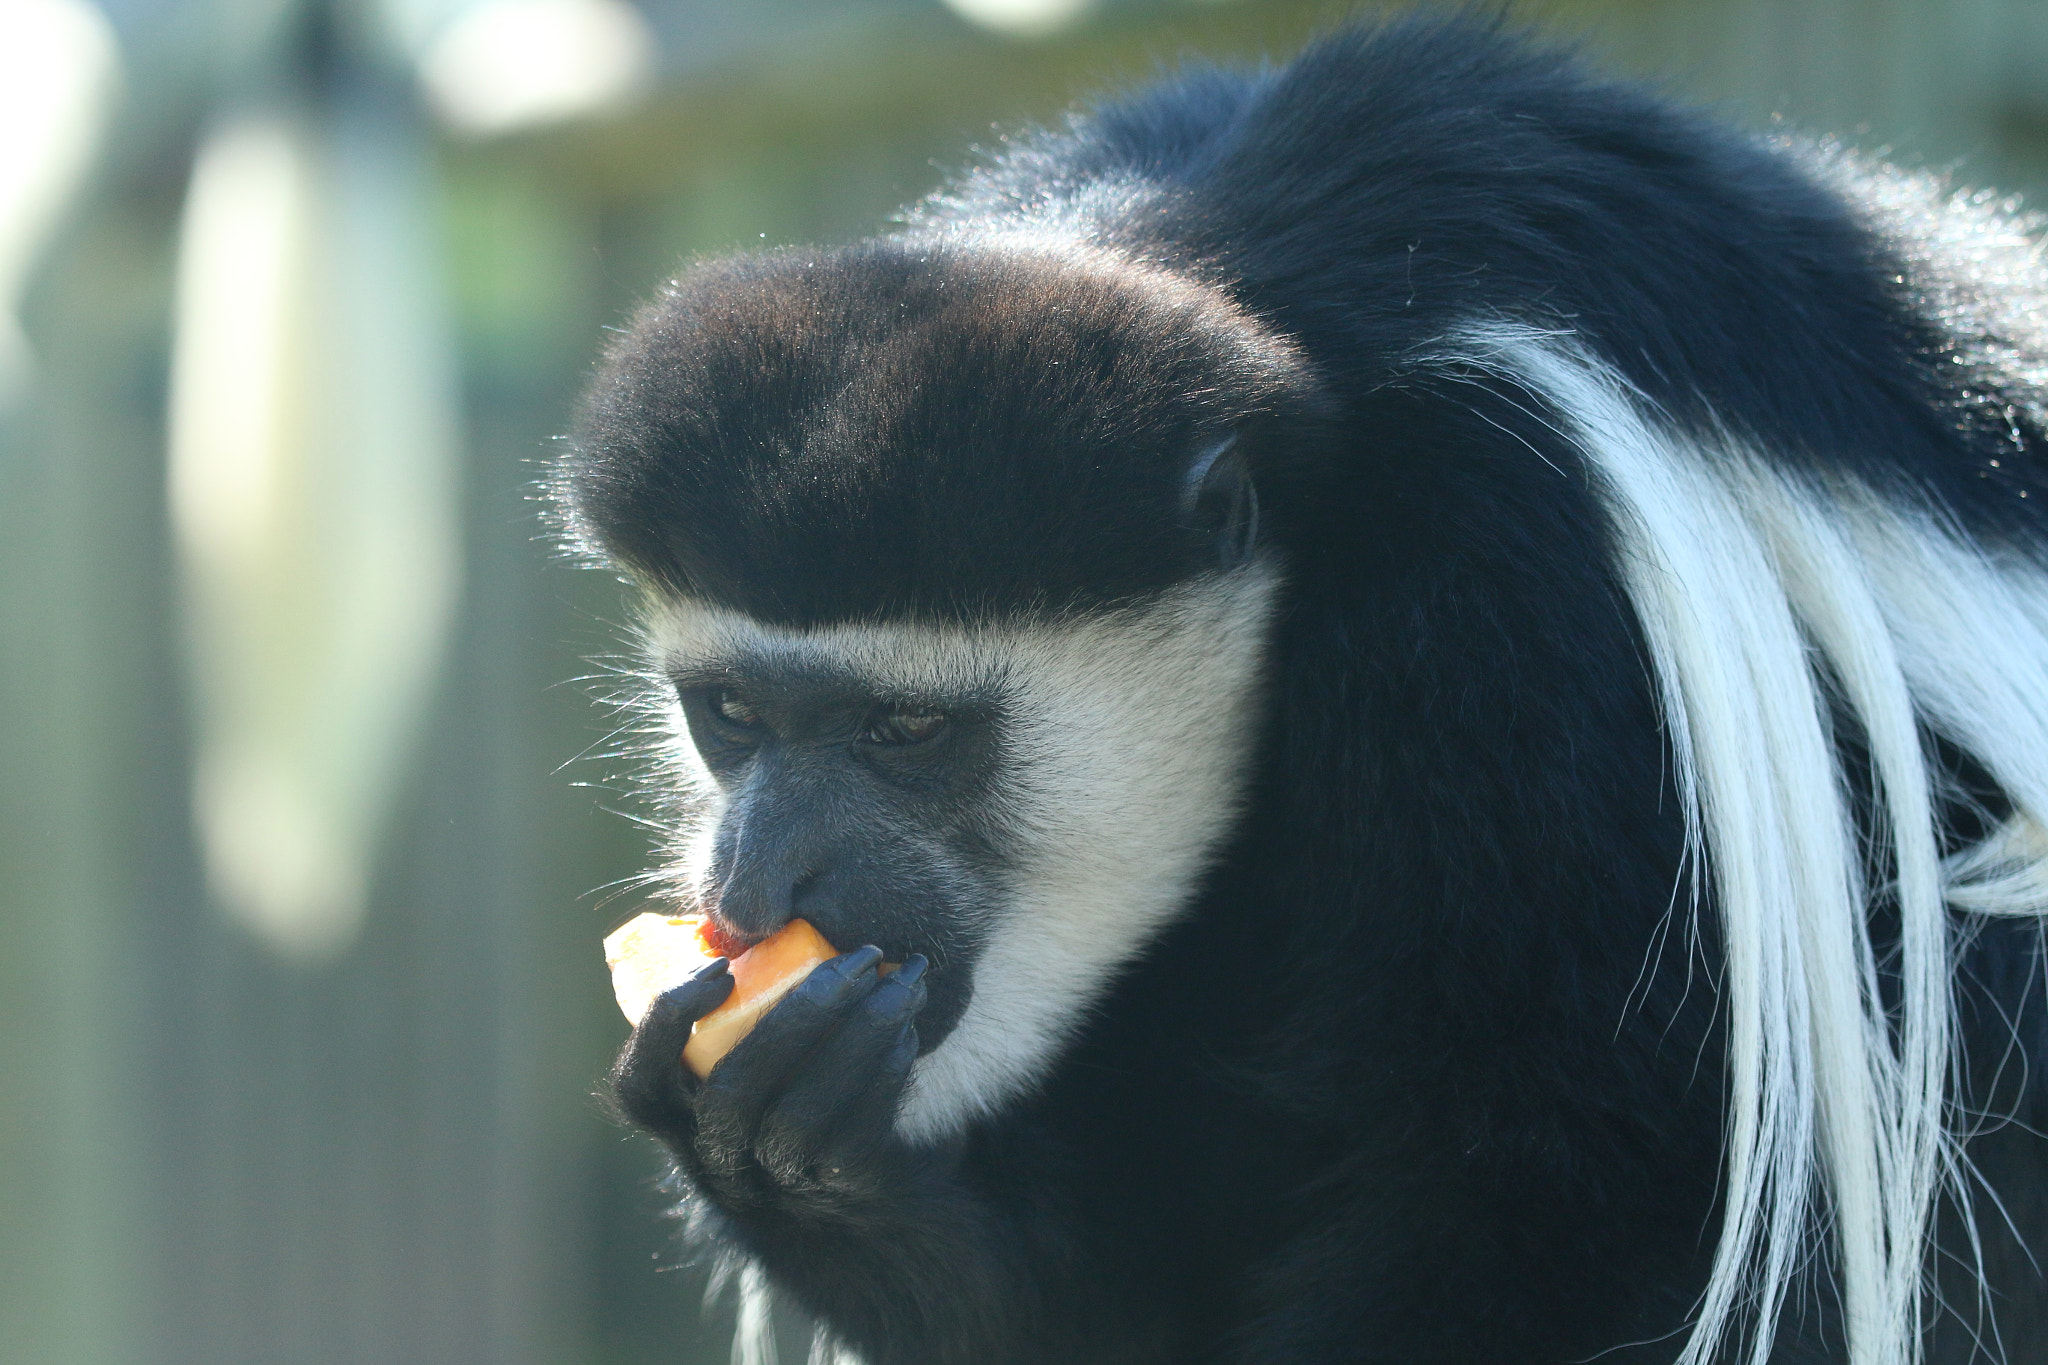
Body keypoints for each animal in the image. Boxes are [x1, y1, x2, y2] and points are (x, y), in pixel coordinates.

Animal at [552, 13, 2039, 1365]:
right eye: (733, 718)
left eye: (905, 731)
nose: (752, 889)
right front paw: (791, 1146)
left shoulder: (1539, 593)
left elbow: (1562, 1190)